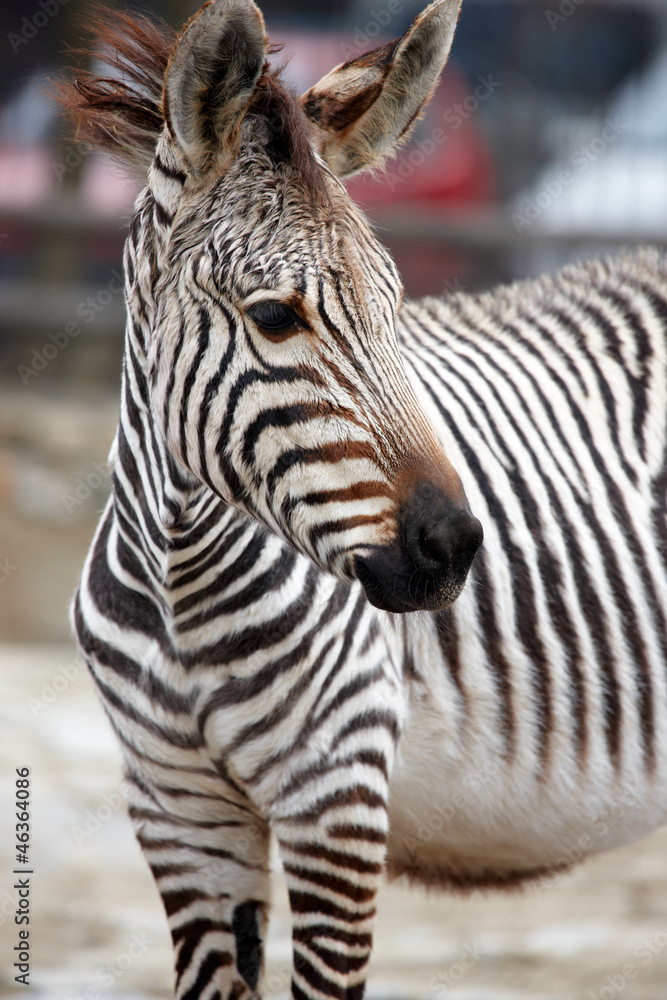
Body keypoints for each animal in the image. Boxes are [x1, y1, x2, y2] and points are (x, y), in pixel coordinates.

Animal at [58, 0, 667, 996]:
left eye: (394, 305)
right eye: (275, 317)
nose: (454, 546)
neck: (180, 586)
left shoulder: (334, 800)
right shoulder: (176, 810)